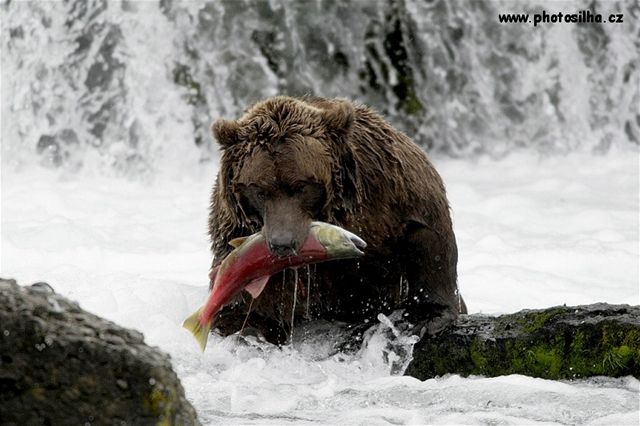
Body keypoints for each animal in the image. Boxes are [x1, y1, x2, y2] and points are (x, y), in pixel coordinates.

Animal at [209, 95, 464, 342]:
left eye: (301, 186)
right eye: (260, 191)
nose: (282, 243)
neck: (336, 214)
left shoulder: (389, 187)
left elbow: (428, 236)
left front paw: (424, 317)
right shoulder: (236, 227)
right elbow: (240, 284)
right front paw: (248, 324)